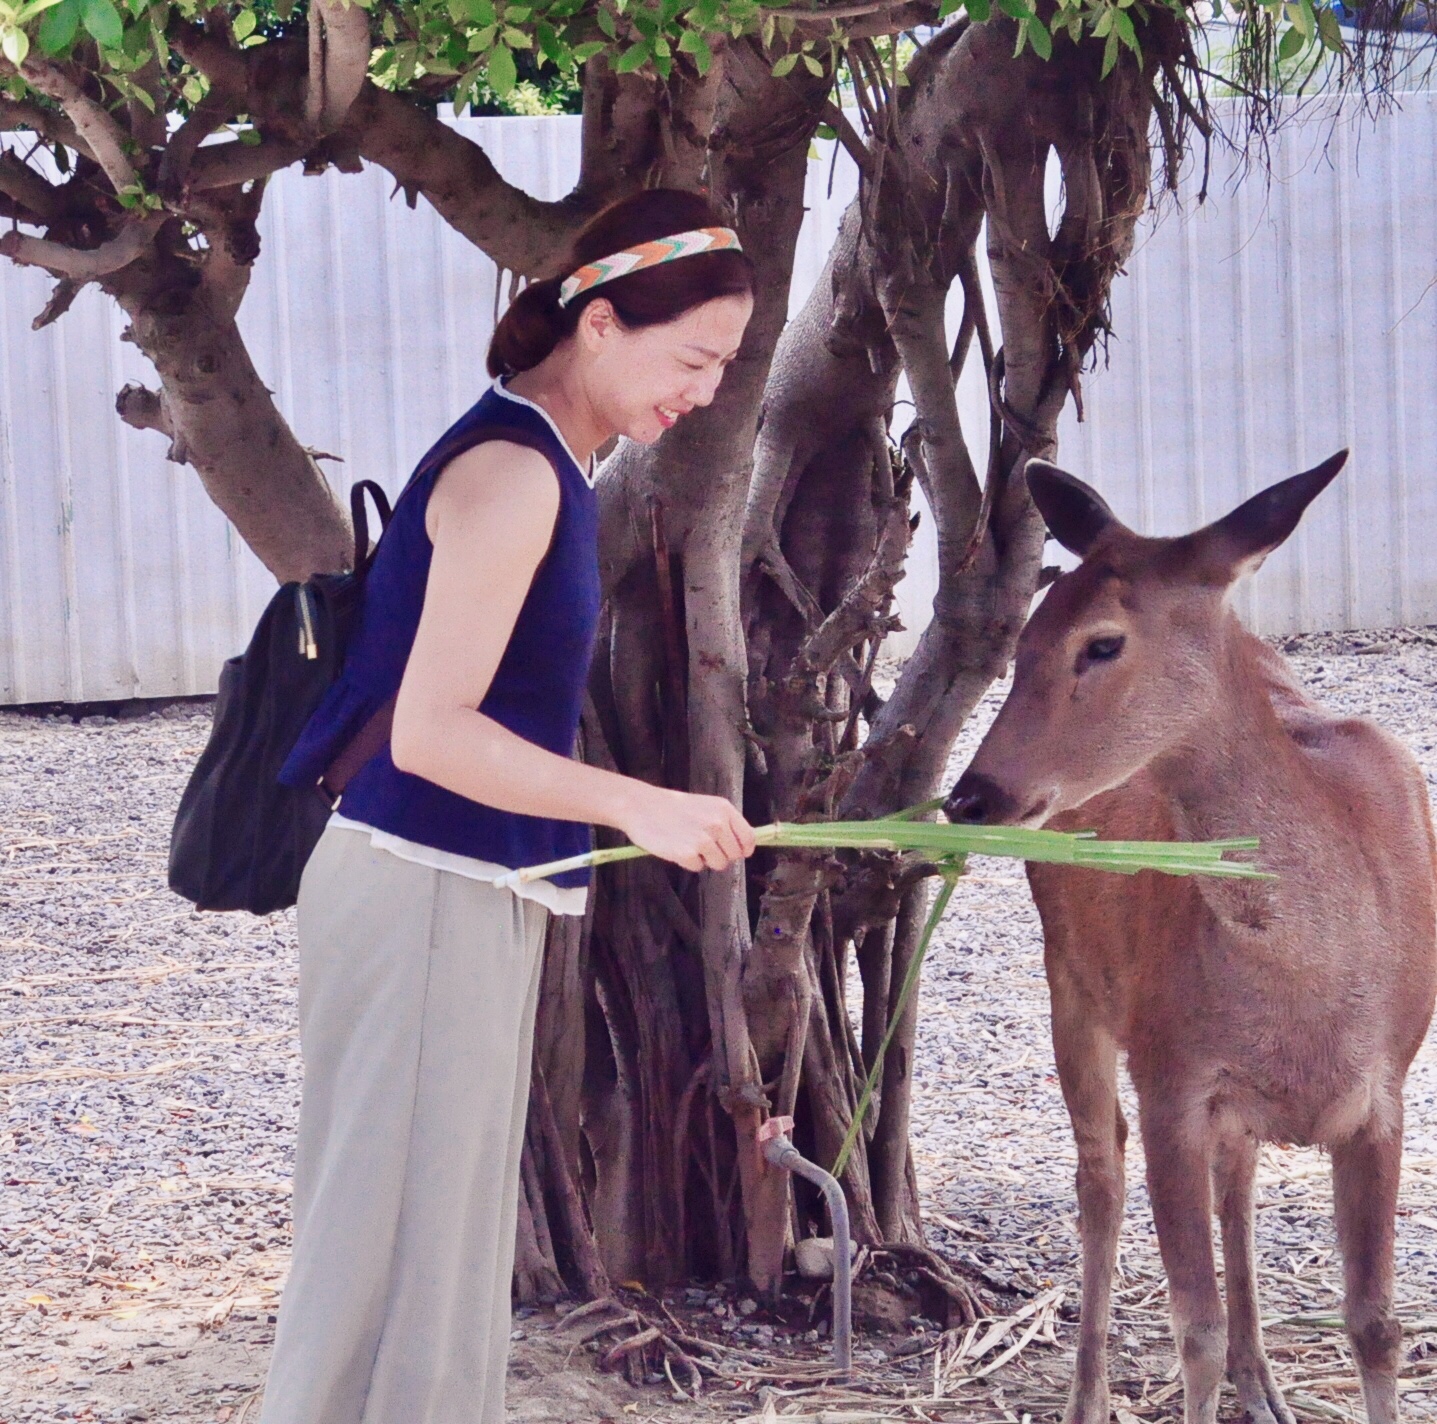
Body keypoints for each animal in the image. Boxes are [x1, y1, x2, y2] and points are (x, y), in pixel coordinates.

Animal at [942, 454, 1437, 1424]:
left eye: (1100, 643)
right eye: (1019, 644)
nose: (968, 794)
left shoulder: (1384, 1090)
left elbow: (1375, 1325)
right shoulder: (1167, 1069)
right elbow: (1191, 1328)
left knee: (1234, 1181)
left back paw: (1265, 1385)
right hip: (1072, 982)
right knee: (1099, 1171)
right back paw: (1087, 1397)